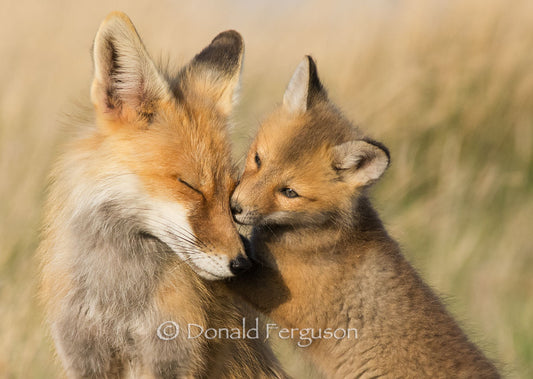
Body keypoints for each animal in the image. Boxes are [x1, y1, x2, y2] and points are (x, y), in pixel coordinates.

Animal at [39, 11, 284, 379]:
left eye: (230, 191)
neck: (119, 300)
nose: (242, 264)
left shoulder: (174, 352)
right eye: (191, 185)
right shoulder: (83, 356)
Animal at [229, 56, 498, 379]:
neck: (314, 238)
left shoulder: (290, 300)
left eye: (289, 192)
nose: (234, 206)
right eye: (258, 159)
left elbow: (235, 275)